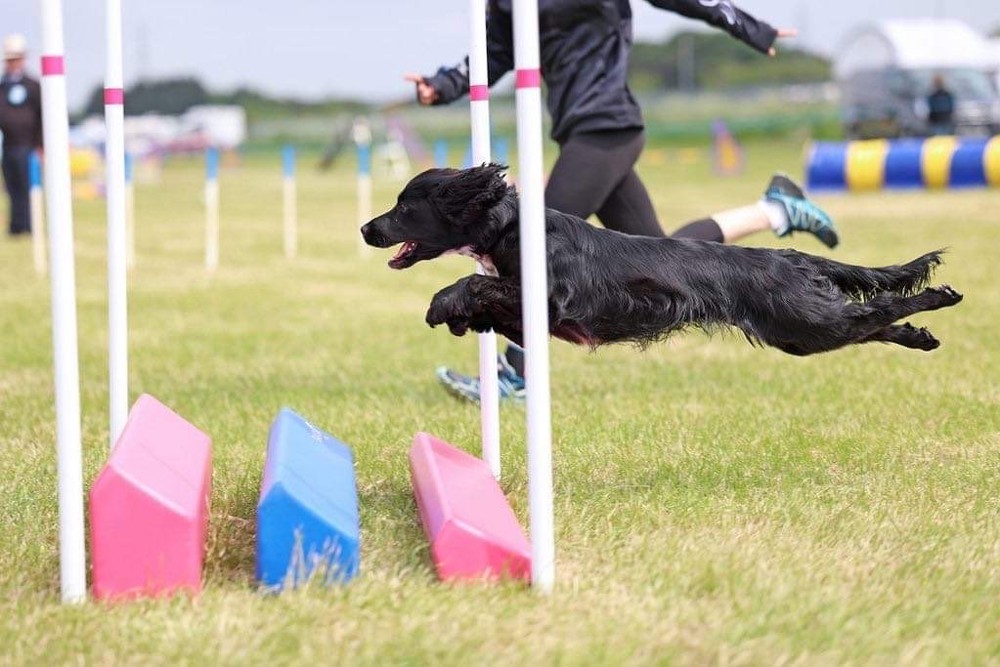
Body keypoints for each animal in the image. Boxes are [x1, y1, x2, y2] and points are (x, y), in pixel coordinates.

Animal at [362, 165, 960, 358]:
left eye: (405, 206)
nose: (366, 228)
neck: (510, 227)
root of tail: (790, 256)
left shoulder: (554, 299)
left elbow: (473, 282)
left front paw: (444, 304)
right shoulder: (536, 322)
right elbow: (489, 299)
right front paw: (461, 317)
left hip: (802, 320)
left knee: (877, 308)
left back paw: (939, 296)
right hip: (800, 330)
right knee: (870, 320)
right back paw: (920, 336)